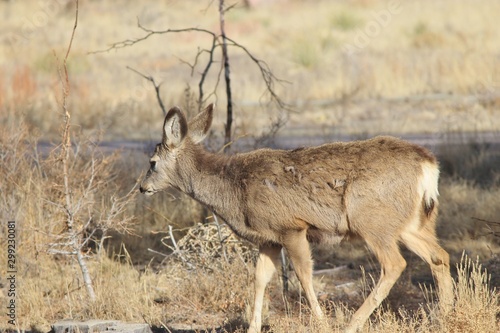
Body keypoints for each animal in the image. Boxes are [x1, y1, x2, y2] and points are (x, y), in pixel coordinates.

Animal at [140, 104, 454, 332]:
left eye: (152, 163)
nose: (142, 187)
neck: (233, 189)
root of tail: (428, 165)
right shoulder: (268, 239)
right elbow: (260, 278)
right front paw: (253, 327)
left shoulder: (291, 226)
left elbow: (304, 275)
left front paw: (322, 323)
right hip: (413, 224)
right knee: (440, 256)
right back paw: (445, 316)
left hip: (372, 220)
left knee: (395, 264)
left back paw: (353, 324)